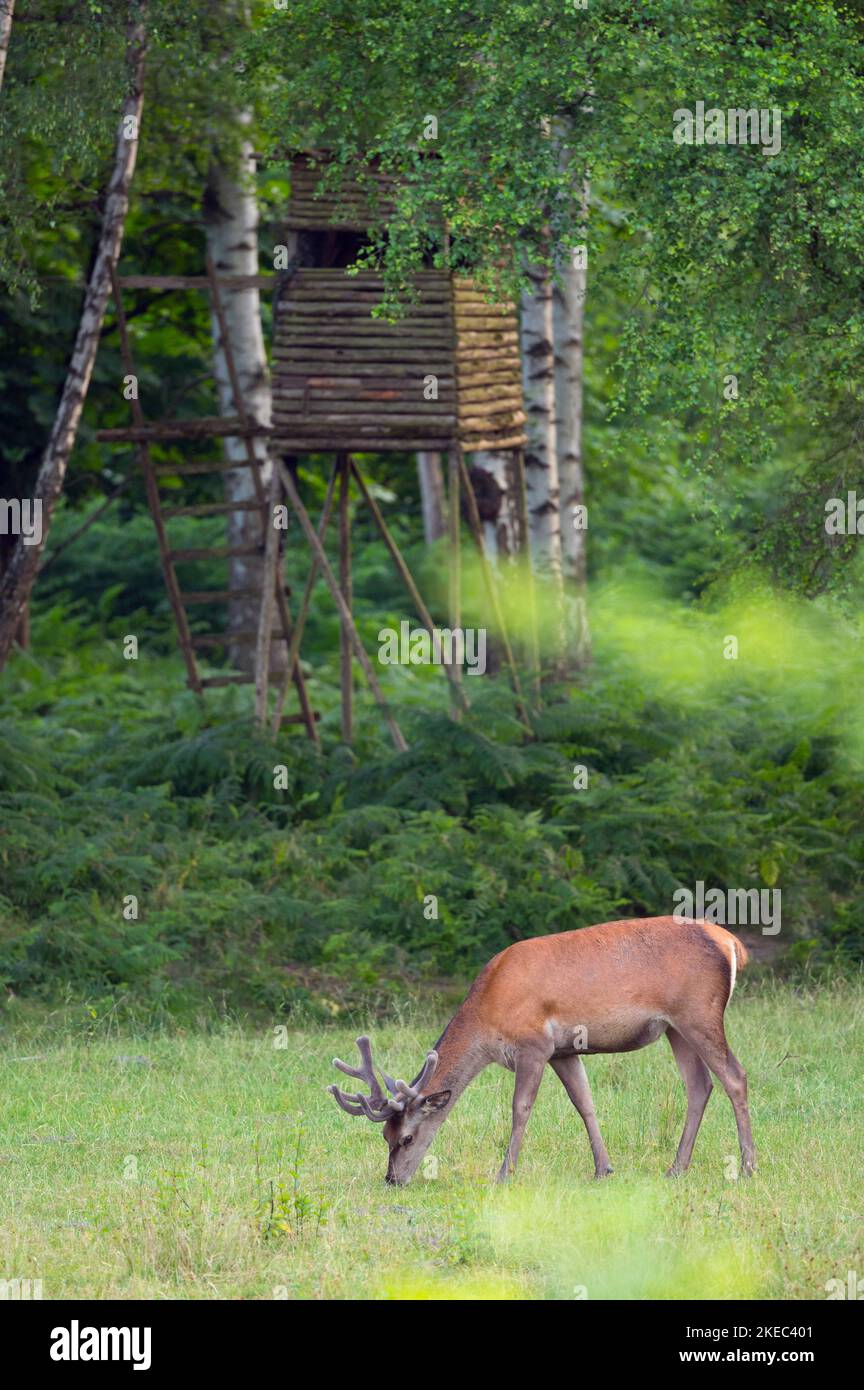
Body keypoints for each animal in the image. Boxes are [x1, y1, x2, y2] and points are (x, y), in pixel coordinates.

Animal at [327, 911, 755, 1184]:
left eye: (407, 1138)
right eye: (384, 1137)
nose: (391, 1179)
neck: (488, 1014)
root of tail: (733, 944)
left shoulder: (534, 1044)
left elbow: (520, 1109)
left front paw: (504, 1173)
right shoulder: (563, 1051)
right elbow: (585, 1103)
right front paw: (603, 1169)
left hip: (699, 1012)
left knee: (735, 1076)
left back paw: (748, 1167)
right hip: (674, 1028)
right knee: (699, 1085)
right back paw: (676, 1168)